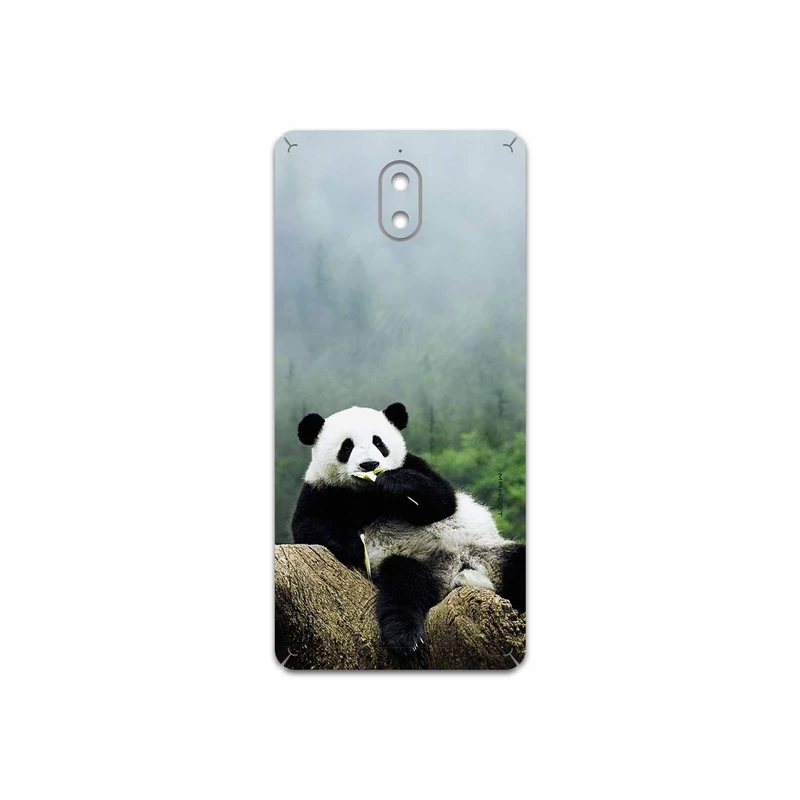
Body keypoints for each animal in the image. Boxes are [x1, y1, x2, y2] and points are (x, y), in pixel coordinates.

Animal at [291, 402, 525, 657]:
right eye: (347, 446)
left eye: (378, 442)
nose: (369, 465)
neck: (367, 494)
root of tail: (457, 571)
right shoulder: (320, 489)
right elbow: (307, 526)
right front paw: (354, 546)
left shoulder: (413, 464)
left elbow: (442, 500)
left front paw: (395, 483)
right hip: (413, 563)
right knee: (404, 588)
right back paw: (406, 637)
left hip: (489, 551)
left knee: (518, 563)